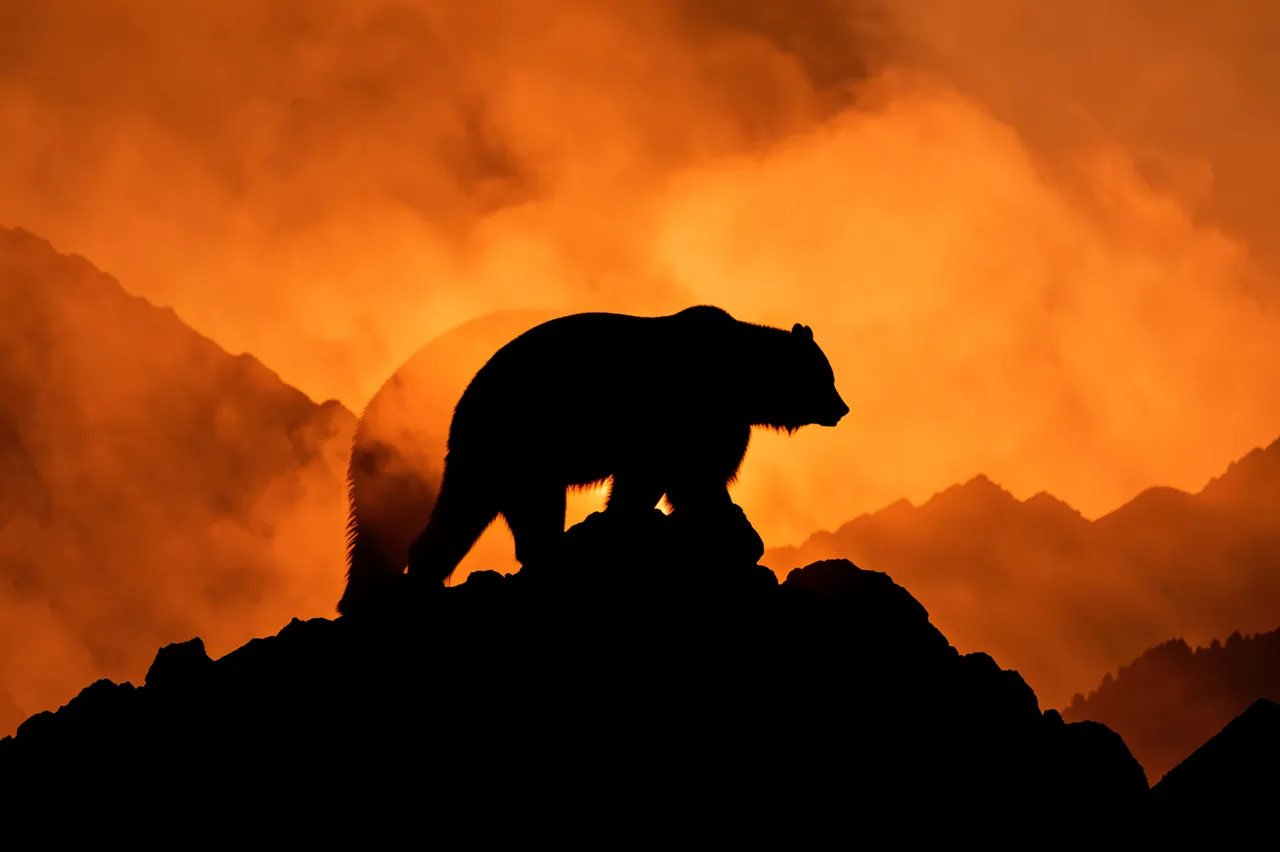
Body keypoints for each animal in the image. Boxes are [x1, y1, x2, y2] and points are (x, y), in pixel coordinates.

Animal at [337, 305, 849, 617]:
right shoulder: (682, 413)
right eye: (825, 375)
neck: (740, 381)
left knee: (463, 512)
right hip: (522, 443)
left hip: (488, 460)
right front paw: (715, 524)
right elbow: (674, 474)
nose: (842, 408)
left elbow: (679, 477)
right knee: (523, 509)